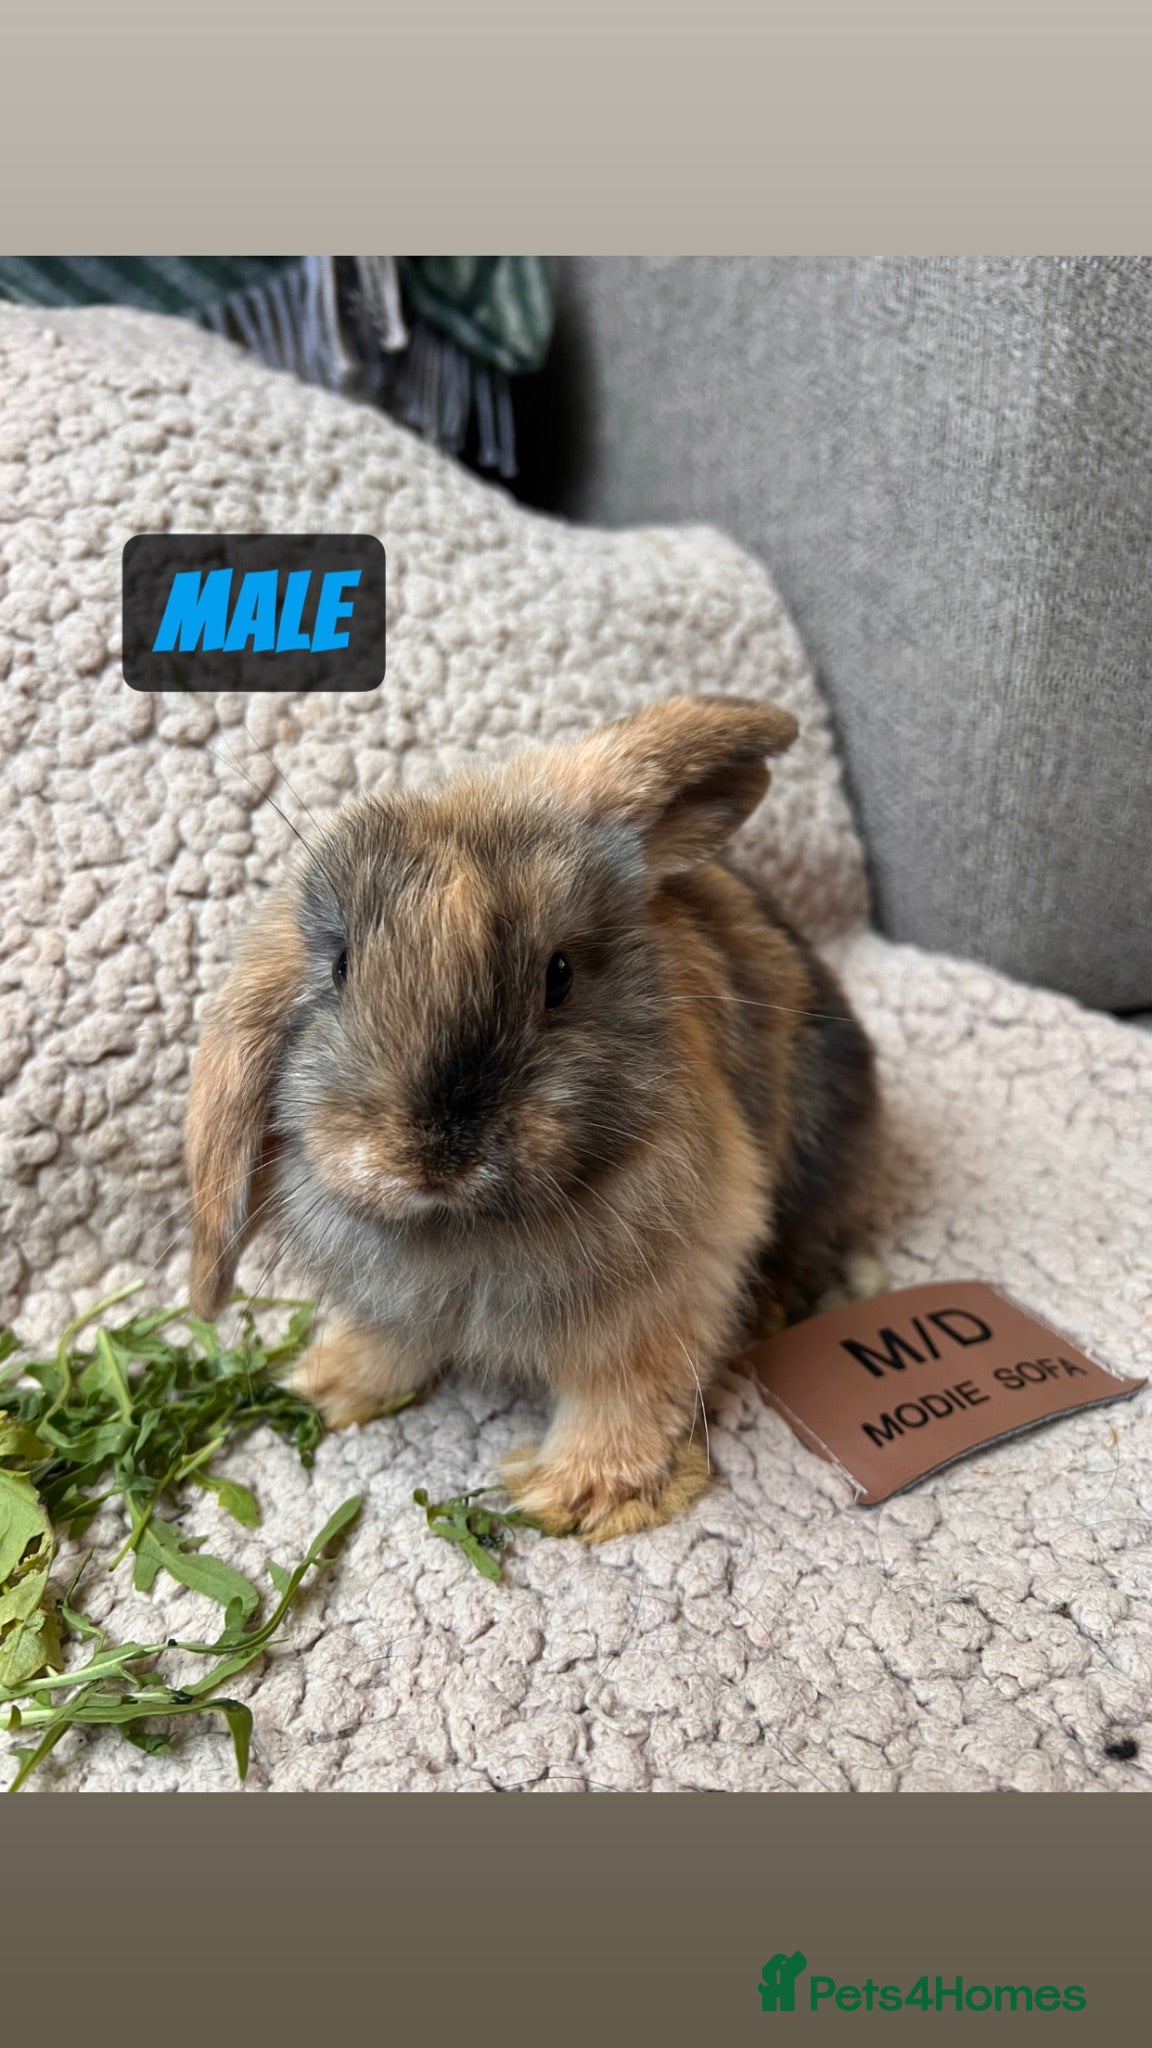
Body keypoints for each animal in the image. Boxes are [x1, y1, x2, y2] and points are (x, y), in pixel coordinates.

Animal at [184, 695, 880, 1542]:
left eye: (560, 975)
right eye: (341, 966)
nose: (433, 1156)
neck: (461, 1226)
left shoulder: (663, 1292)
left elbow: (626, 1391)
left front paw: (578, 1496)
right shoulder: (396, 1302)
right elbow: (390, 1341)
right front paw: (326, 1386)